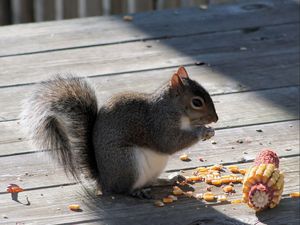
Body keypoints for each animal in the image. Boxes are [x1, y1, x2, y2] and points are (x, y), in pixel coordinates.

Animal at [21, 66, 218, 198]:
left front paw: (210, 130)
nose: (215, 118)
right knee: (124, 189)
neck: (172, 108)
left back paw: (168, 179)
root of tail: (106, 182)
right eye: (197, 102)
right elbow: (169, 143)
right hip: (127, 162)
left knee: (151, 181)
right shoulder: (158, 125)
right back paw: (137, 192)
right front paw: (203, 131)